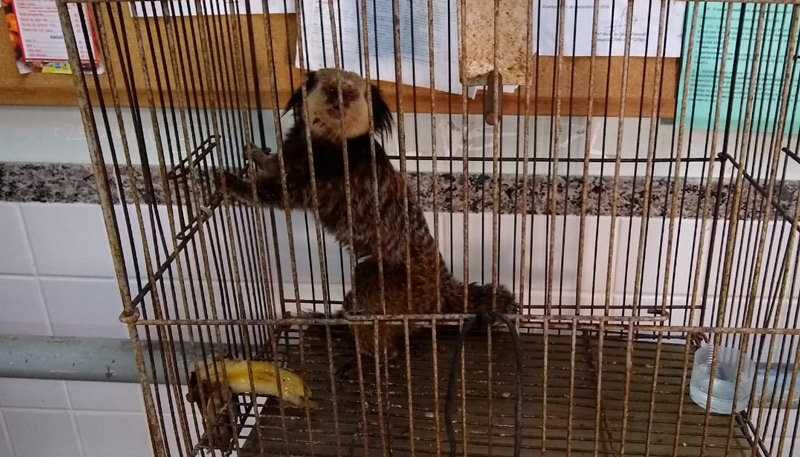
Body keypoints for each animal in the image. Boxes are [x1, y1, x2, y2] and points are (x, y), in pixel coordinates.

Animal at [215, 68, 517, 365]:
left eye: (350, 94)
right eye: (331, 90)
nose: (338, 104)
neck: (328, 141)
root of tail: (442, 286)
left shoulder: (321, 174)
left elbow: (281, 194)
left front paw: (230, 182)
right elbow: (276, 165)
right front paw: (257, 155)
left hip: (401, 286)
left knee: (365, 286)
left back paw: (371, 350)